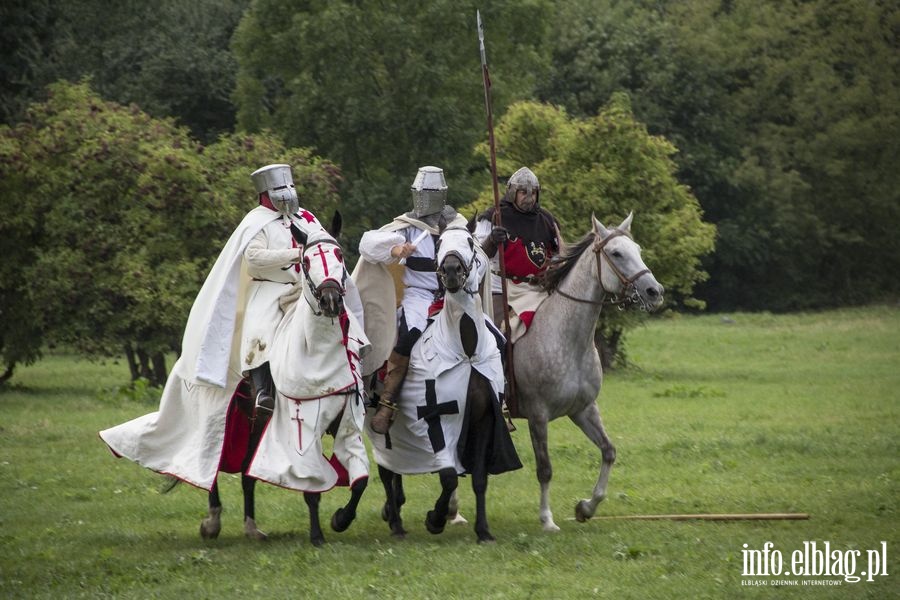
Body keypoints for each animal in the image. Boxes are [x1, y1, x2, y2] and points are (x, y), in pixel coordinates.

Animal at [510, 213, 664, 532]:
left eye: (638, 250)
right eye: (616, 253)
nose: (655, 292)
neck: (566, 337)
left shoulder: (583, 409)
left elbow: (609, 451)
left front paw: (586, 507)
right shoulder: (537, 415)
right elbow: (545, 469)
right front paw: (547, 519)